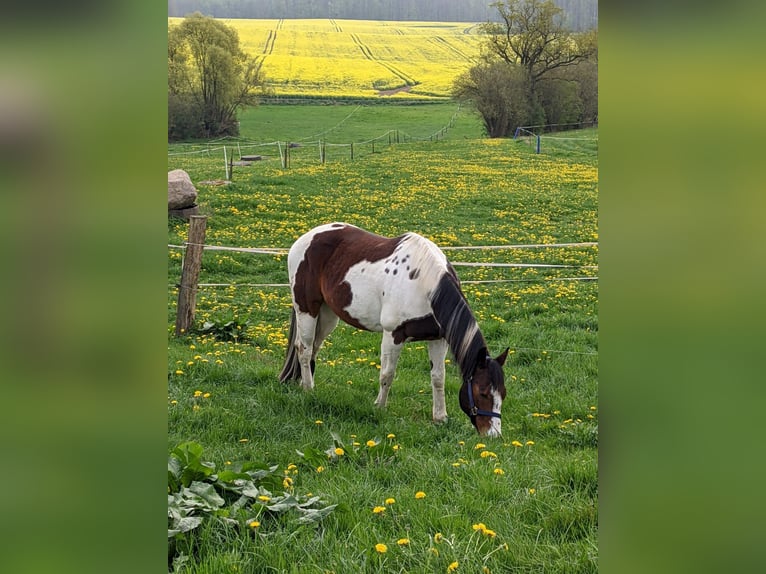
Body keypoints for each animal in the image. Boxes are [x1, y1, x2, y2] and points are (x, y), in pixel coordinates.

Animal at [279, 222, 509, 436]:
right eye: (483, 393)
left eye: (503, 394)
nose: (493, 435)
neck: (426, 285)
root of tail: (306, 238)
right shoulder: (393, 335)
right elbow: (387, 374)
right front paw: (379, 407)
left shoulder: (438, 338)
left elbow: (438, 378)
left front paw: (440, 417)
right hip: (307, 309)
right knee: (304, 349)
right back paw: (308, 389)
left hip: (327, 315)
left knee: (313, 349)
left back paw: (304, 384)